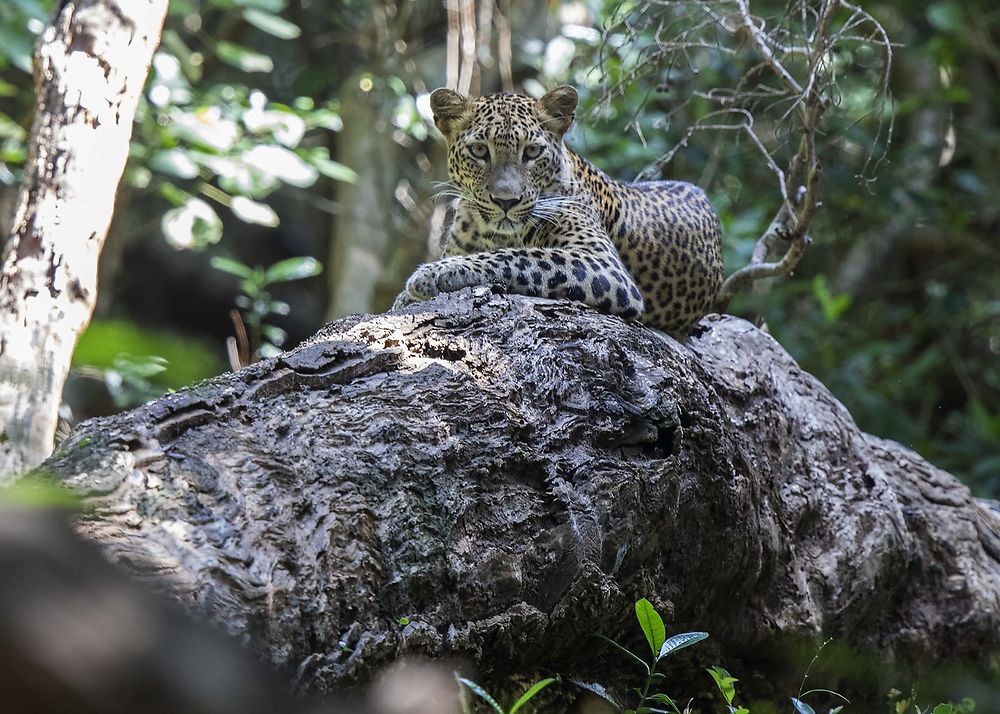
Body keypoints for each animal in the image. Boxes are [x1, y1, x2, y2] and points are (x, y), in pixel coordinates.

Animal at [394, 84, 724, 334]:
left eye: (531, 152)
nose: (506, 201)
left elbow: (521, 256)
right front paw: (406, 296)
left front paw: (435, 273)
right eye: (478, 151)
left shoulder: (604, 265)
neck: (490, 233)